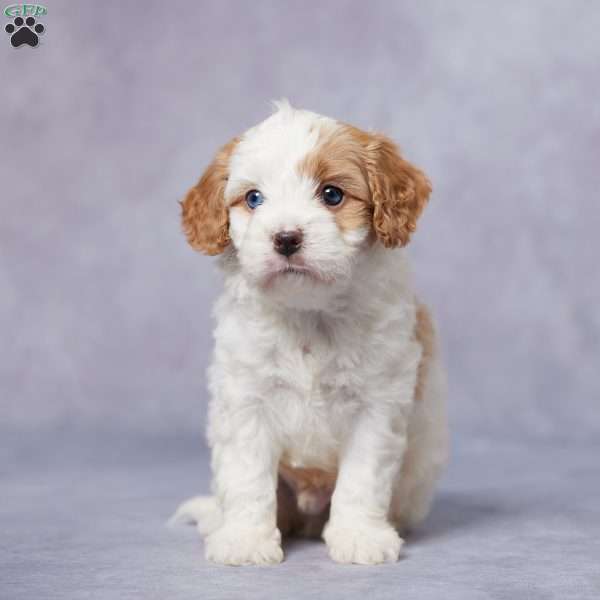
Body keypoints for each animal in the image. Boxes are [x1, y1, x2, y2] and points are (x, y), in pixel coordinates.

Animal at [171, 101, 448, 564]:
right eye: (253, 199)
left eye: (332, 194)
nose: (286, 238)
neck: (309, 313)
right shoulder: (245, 402)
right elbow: (248, 478)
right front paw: (246, 539)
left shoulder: (377, 404)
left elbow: (362, 477)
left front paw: (359, 535)